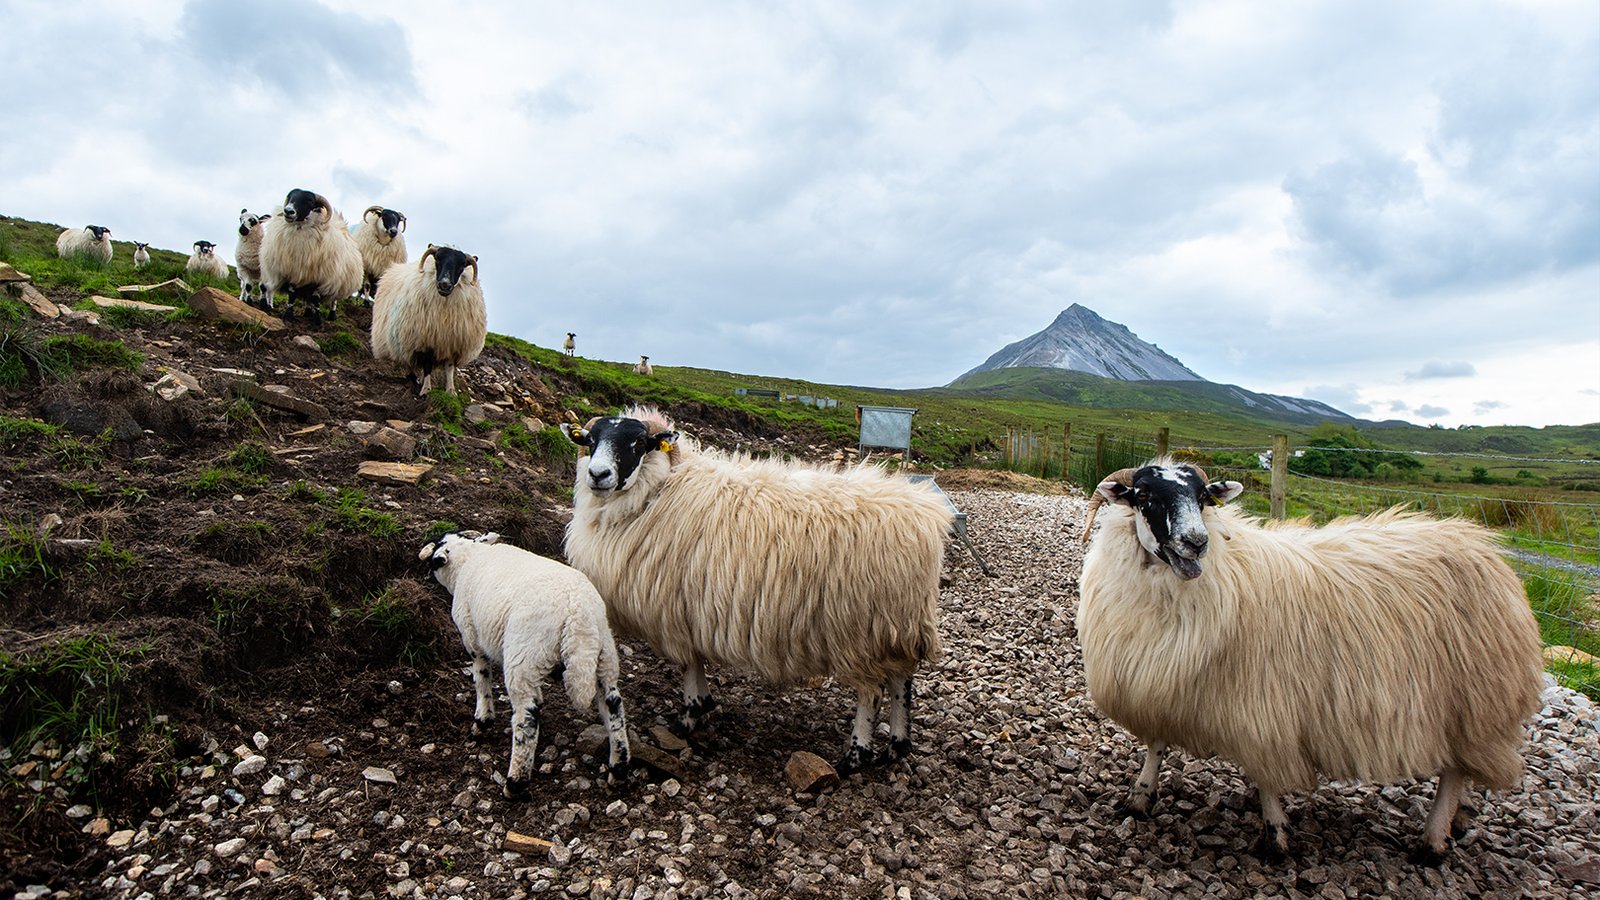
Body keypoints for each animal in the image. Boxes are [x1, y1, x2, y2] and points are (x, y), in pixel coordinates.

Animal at [259, 188, 364, 326]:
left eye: (309, 201)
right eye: (291, 197)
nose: (288, 211)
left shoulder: (319, 277)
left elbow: (316, 298)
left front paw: (318, 320)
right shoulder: (293, 273)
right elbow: (292, 295)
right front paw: (288, 315)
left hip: (337, 281)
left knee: (333, 300)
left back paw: (331, 316)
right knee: (307, 299)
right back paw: (307, 313)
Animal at [370, 244, 486, 396]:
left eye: (461, 266)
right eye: (437, 260)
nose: (444, 284)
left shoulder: (452, 341)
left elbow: (449, 367)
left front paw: (451, 390)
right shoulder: (426, 341)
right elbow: (427, 366)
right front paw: (426, 390)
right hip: (403, 340)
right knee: (408, 361)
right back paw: (412, 379)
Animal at [421, 531, 630, 796]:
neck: (469, 559)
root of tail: (578, 613)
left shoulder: (472, 637)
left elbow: (481, 678)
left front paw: (482, 722)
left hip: (525, 652)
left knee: (526, 716)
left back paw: (515, 783)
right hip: (603, 655)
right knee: (614, 706)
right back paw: (618, 771)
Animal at [562, 406, 953, 774]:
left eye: (638, 442)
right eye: (591, 439)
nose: (598, 475)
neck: (659, 489)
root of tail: (924, 516)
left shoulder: (674, 613)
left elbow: (688, 665)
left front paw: (688, 719)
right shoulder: (691, 611)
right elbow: (697, 664)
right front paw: (704, 706)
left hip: (862, 631)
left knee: (871, 694)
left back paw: (855, 755)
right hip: (896, 624)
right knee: (903, 680)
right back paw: (898, 744)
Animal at [1075, 459, 1543, 863]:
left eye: (1203, 498)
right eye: (1143, 495)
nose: (1197, 542)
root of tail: (1481, 546)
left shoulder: (1261, 704)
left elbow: (1266, 774)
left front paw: (1275, 836)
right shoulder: (1156, 677)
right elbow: (1156, 745)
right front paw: (1140, 798)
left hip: (1475, 701)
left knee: (1453, 774)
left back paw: (1433, 840)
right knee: (1463, 769)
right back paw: (1461, 818)